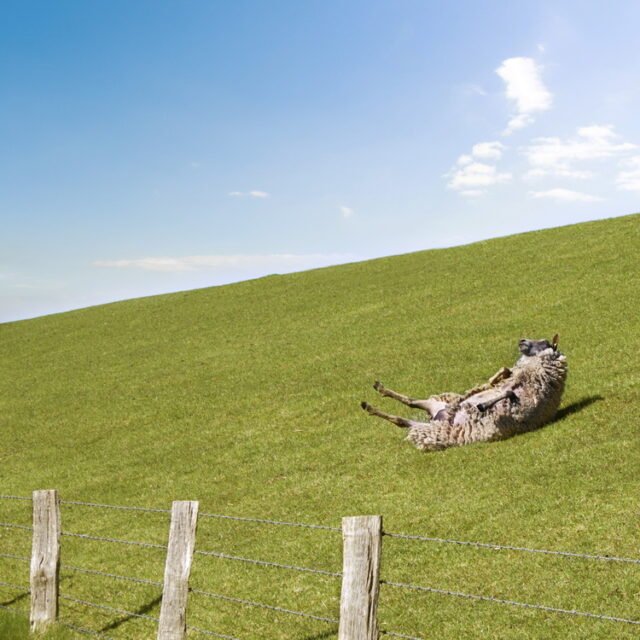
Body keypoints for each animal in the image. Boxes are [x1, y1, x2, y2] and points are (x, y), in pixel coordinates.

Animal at [360, 336, 567, 451]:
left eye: (544, 342)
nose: (522, 340)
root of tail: (438, 417)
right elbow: (504, 375)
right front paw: (489, 384)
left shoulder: (525, 404)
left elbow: (507, 392)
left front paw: (482, 404)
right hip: (435, 407)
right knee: (410, 403)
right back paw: (377, 393)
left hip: (434, 428)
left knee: (401, 420)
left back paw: (370, 406)